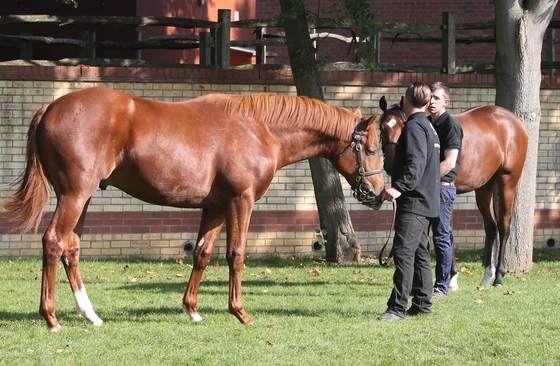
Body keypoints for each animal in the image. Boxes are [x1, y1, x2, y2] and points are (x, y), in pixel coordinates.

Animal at [1, 88, 384, 332]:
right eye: (371, 149)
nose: (378, 193)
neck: (258, 128)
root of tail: (51, 108)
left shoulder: (214, 208)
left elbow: (202, 254)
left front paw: (193, 310)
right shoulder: (240, 202)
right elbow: (236, 255)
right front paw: (240, 313)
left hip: (84, 197)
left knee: (71, 249)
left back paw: (90, 315)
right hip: (74, 195)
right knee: (53, 242)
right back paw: (52, 319)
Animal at [378, 96, 528, 288]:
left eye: (403, 126)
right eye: (382, 127)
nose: (390, 165)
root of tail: (515, 123)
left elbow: (446, 231)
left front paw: (452, 276)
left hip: (507, 183)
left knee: (503, 226)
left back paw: (499, 277)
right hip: (484, 187)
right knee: (491, 226)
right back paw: (487, 275)